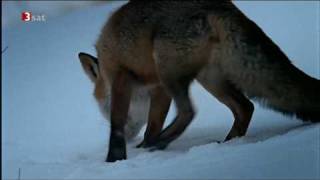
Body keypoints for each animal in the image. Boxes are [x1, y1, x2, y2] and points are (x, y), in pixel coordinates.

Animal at [78, 0, 320, 162]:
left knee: (189, 112)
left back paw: (164, 142)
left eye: (103, 110)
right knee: (245, 107)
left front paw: (115, 157)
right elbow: (152, 125)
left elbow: (118, 126)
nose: (130, 139)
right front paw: (144, 146)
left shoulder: (122, 75)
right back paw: (227, 143)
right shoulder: (159, 88)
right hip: (209, 79)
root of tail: (219, 5)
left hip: (169, 69)